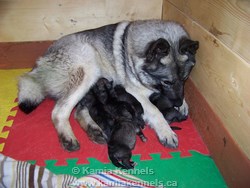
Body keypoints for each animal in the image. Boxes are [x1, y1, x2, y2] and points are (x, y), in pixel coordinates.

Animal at [17, 19, 198, 151]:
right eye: (167, 81)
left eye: (185, 79)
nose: (177, 102)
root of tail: (40, 64)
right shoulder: (135, 93)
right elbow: (154, 110)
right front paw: (166, 131)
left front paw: (183, 104)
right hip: (88, 65)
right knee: (59, 112)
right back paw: (68, 137)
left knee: (79, 111)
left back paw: (93, 129)